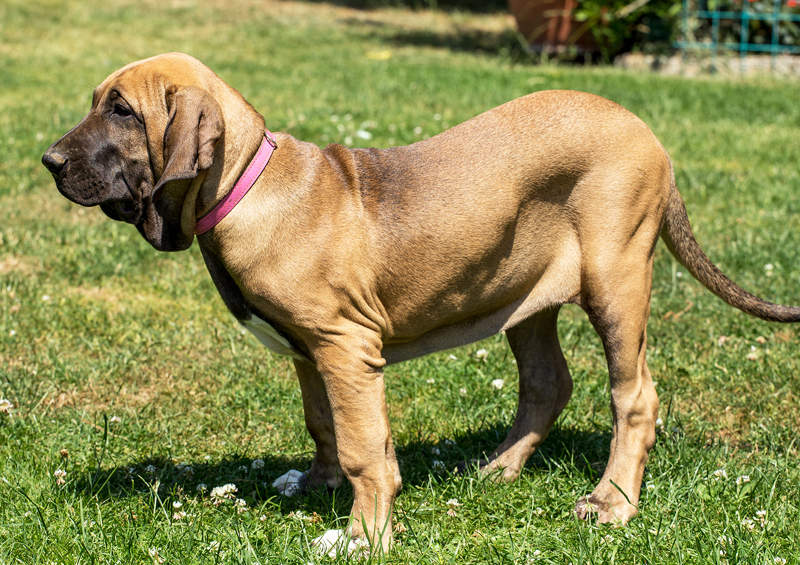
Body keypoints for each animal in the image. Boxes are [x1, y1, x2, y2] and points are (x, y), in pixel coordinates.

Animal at [42, 51, 800, 552]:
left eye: (121, 110)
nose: (49, 161)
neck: (247, 185)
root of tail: (647, 132)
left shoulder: (347, 346)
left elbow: (362, 445)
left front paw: (364, 533)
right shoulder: (312, 351)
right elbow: (325, 424)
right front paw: (317, 484)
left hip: (616, 276)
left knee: (634, 395)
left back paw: (610, 503)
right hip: (523, 294)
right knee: (547, 383)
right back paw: (496, 469)